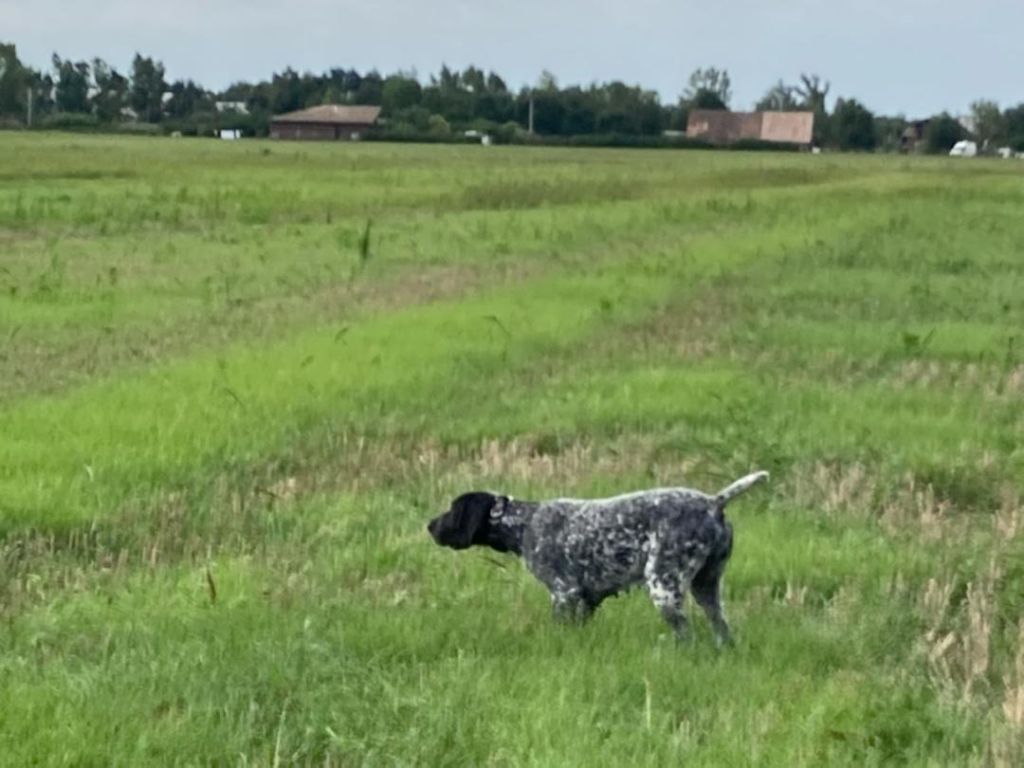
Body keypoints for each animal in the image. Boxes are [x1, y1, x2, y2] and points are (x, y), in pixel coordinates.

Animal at [425, 473, 770, 647]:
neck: (524, 524)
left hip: (664, 587)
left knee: (687, 635)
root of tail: (714, 502)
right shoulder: (587, 599)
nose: (429, 525)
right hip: (707, 589)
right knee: (722, 631)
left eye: (452, 510)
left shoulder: (563, 593)